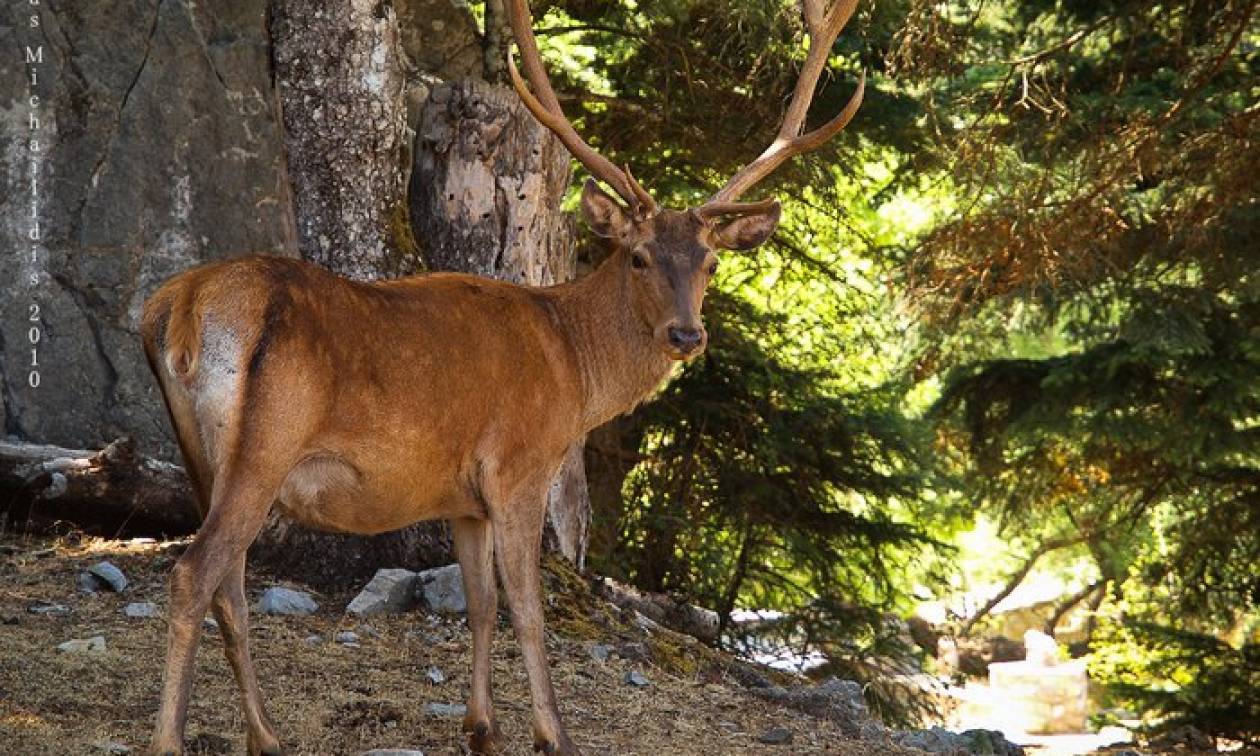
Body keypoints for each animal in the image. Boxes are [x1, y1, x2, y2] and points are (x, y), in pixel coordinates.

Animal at [140, 2, 866, 750]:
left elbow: (481, 604)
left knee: (228, 585)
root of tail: (179, 306)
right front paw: (554, 733)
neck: (574, 369)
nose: (686, 335)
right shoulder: (521, 464)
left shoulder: (464, 496)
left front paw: (481, 726)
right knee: (194, 572)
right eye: (637, 256)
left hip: (201, 456)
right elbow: (528, 607)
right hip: (266, 444)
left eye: (711, 263)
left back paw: (266, 735)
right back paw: (170, 737)